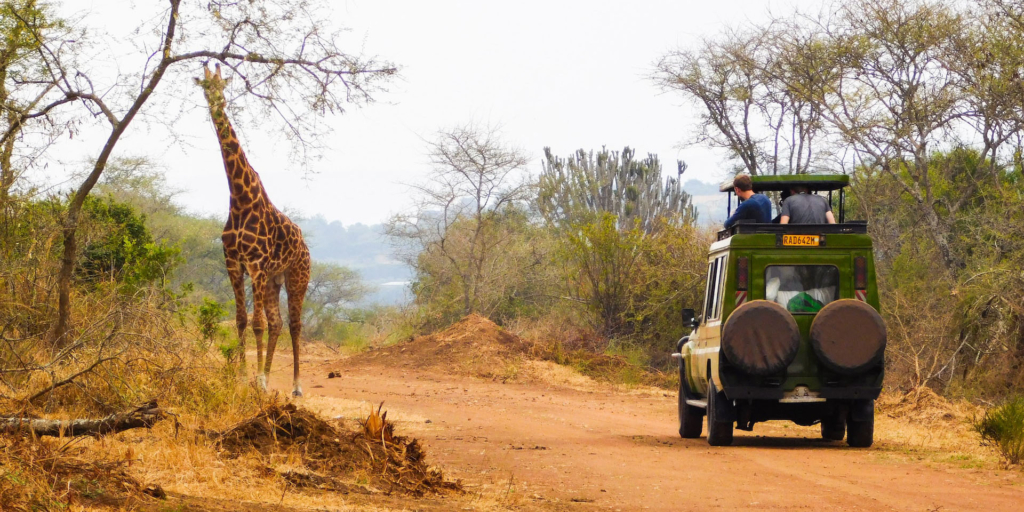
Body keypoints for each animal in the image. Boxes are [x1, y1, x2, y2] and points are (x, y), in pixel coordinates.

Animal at [195, 64, 310, 397]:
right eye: (204, 85)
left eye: (222, 86)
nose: (215, 102)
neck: (239, 199)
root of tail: (306, 246)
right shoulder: (234, 264)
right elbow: (241, 320)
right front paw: (240, 376)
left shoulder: (256, 264)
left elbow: (256, 323)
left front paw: (255, 380)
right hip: (274, 280)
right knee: (277, 323)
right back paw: (269, 378)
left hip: (297, 277)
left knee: (294, 325)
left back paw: (296, 386)